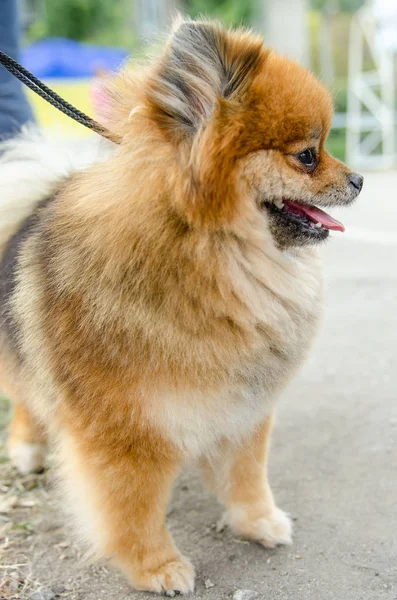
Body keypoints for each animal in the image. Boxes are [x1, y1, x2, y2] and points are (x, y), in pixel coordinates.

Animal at [0, 18, 360, 596]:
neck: (211, 254)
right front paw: (156, 567)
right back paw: (28, 448)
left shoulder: (243, 405)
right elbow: (134, 507)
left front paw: (259, 522)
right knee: (26, 399)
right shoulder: (124, 431)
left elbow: (246, 474)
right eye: (308, 155)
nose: (360, 179)